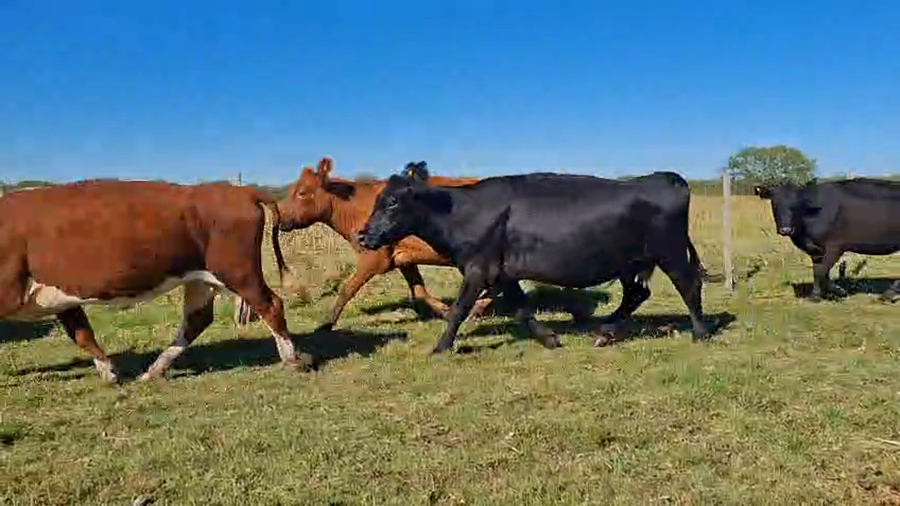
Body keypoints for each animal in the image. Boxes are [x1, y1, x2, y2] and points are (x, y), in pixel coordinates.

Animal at [0, 179, 310, 383]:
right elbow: (82, 333)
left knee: (270, 304)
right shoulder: (62, 296)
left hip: (238, 271)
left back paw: (292, 360)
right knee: (197, 319)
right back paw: (154, 370)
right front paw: (109, 372)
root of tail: (237, 189)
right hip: (202, 278)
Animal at [273, 157, 495, 332]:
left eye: (302, 192)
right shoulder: (403, 258)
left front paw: (327, 323)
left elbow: (347, 289)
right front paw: (445, 310)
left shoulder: (373, 259)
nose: (281, 218)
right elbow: (419, 291)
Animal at [358, 167, 711, 354]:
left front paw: (441, 347)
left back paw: (700, 333)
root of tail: (664, 177)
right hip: (630, 262)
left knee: (688, 285)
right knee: (637, 294)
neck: (461, 211)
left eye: (392, 202)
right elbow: (522, 310)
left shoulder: (478, 268)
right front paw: (550, 338)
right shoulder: (502, 273)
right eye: (378, 200)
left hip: (670, 252)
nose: (364, 235)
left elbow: (458, 309)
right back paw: (605, 331)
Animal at [755, 178, 900, 302]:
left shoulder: (835, 246)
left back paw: (888, 294)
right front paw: (819, 294)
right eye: (774, 203)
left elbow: (822, 271)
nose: (786, 230)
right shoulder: (815, 250)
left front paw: (835, 292)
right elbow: (818, 271)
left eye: (796, 204)